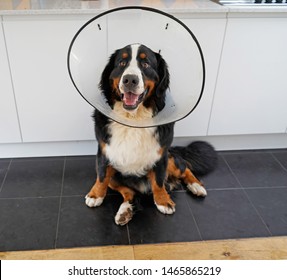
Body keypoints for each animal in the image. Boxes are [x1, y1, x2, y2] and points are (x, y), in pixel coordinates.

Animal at [85, 43, 218, 225]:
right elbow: (102, 176)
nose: (130, 80)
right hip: (116, 177)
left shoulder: (160, 154)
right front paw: (95, 194)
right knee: (129, 193)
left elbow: (159, 181)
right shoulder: (105, 152)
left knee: (185, 168)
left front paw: (163, 200)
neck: (133, 119)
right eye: (122, 63)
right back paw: (125, 211)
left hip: (170, 159)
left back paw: (196, 186)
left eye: (146, 64)